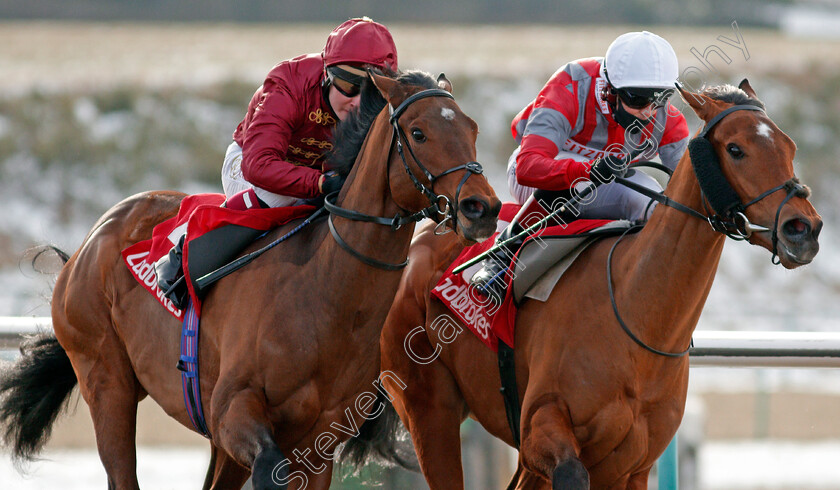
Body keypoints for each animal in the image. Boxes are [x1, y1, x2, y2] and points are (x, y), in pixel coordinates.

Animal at [0, 71, 498, 488]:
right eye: (418, 132)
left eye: (472, 130)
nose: (482, 208)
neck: (326, 296)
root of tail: (93, 237)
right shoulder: (232, 412)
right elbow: (270, 471)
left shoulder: (319, 438)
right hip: (106, 380)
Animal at [346, 82, 820, 488]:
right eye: (736, 149)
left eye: (789, 147)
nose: (803, 229)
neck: (636, 318)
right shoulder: (541, 431)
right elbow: (568, 470)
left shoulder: (632, 466)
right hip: (430, 409)